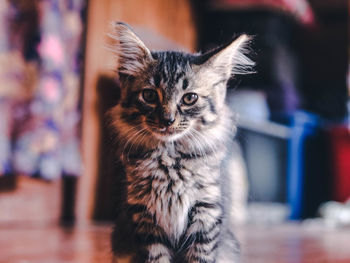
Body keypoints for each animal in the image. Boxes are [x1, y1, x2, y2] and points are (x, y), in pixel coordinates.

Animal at [108, 22, 253, 263]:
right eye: (149, 96)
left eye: (189, 98)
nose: (167, 120)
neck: (170, 158)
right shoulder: (145, 215)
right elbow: (156, 257)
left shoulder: (206, 210)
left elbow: (201, 257)